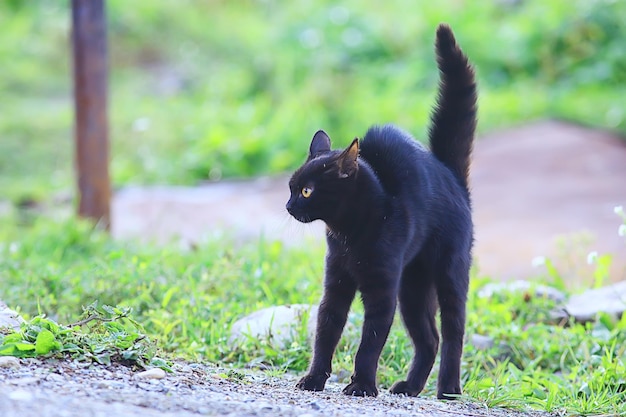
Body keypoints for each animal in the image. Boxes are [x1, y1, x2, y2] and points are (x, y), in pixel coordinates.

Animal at [286, 23, 476, 400]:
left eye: (306, 191)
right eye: (291, 187)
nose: (287, 205)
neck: (348, 234)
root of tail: (449, 174)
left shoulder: (381, 290)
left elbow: (370, 342)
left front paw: (361, 385)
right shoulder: (336, 282)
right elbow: (326, 331)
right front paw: (314, 379)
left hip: (448, 273)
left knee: (452, 332)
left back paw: (448, 389)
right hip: (413, 289)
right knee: (429, 338)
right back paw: (409, 387)